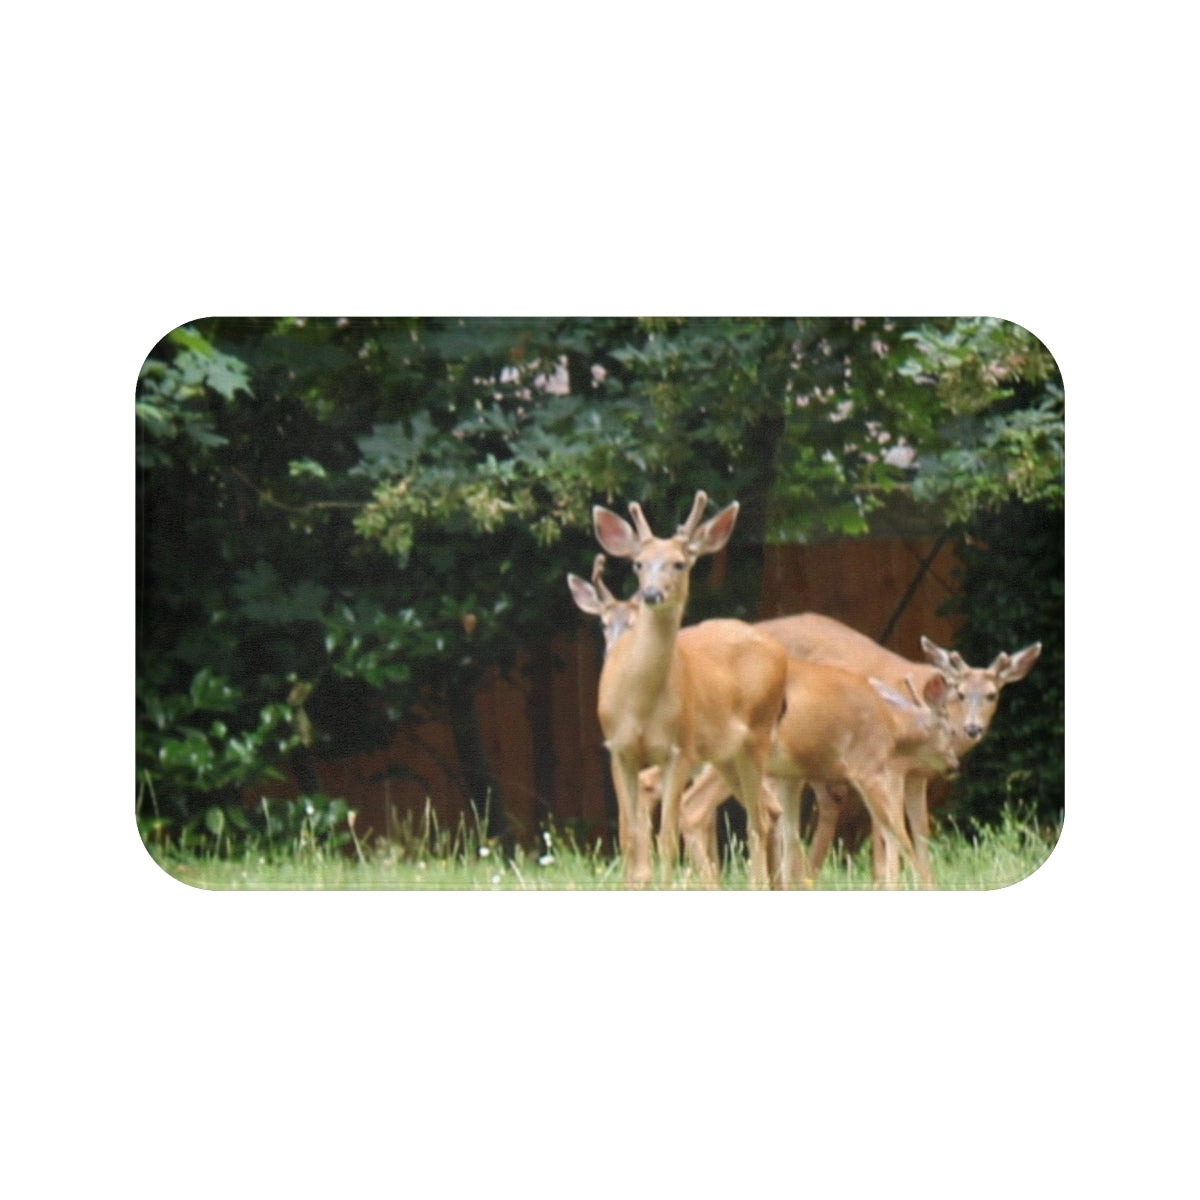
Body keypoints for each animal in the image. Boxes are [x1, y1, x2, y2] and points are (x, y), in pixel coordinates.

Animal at [589, 490, 789, 888]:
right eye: (638, 564)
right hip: (725, 756)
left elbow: (666, 839)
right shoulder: (618, 749)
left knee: (758, 820)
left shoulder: (679, 750)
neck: (640, 706)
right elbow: (629, 836)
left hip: (757, 737)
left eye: (679, 564)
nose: (651, 594)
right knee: (766, 813)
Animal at [679, 660, 959, 889]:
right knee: (693, 807)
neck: (891, 728)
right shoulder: (867, 766)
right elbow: (898, 833)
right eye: (951, 732)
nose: (954, 765)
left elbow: (791, 834)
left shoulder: (792, 776)